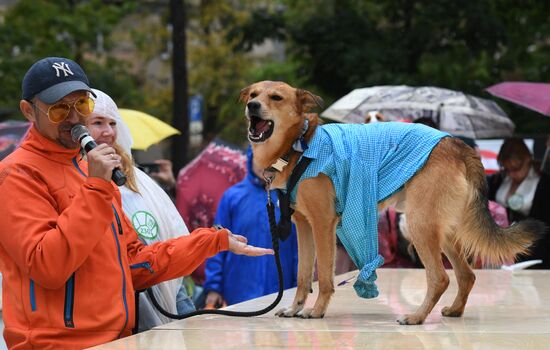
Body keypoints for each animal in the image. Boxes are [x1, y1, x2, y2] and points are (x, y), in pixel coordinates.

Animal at [240, 80, 544, 324]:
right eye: (253, 94)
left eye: (276, 97)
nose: (252, 106)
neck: (298, 145)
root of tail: (457, 144)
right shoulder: (304, 226)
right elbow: (303, 276)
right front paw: (295, 309)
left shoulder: (323, 225)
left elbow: (324, 277)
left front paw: (316, 311)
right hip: (440, 228)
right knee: (466, 275)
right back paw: (455, 311)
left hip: (419, 224)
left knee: (440, 277)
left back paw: (417, 317)